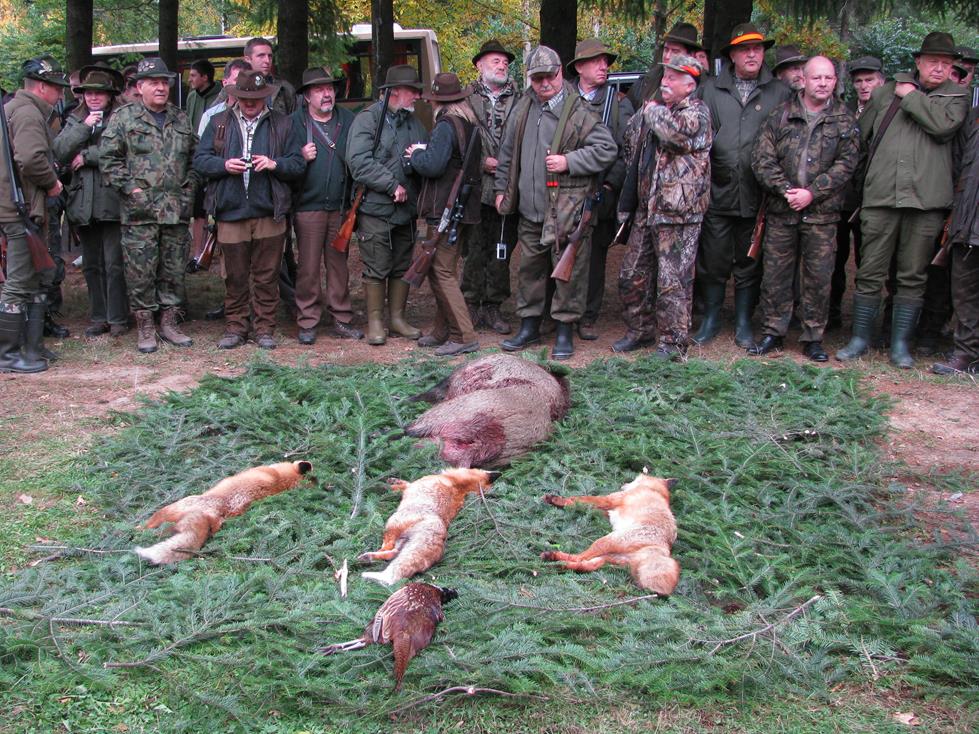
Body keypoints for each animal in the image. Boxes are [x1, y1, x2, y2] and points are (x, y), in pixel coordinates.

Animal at [358, 472, 498, 588]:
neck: (457, 485)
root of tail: (441, 528)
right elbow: (404, 484)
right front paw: (393, 481)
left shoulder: (412, 486)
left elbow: (400, 487)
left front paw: (385, 486)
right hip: (403, 540)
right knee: (393, 554)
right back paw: (368, 557)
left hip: (394, 522)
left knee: (388, 547)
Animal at [536, 472, 680, 600]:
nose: (624, 483)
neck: (654, 489)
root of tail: (664, 548)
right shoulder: (608, 511)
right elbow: (584, 507)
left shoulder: (609, 500)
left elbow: (579, 499)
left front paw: (556, 500)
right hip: (608, 558)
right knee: (586, 566)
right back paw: (555, 562)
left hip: (605, 542)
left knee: (580, 558)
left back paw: (554, 560)